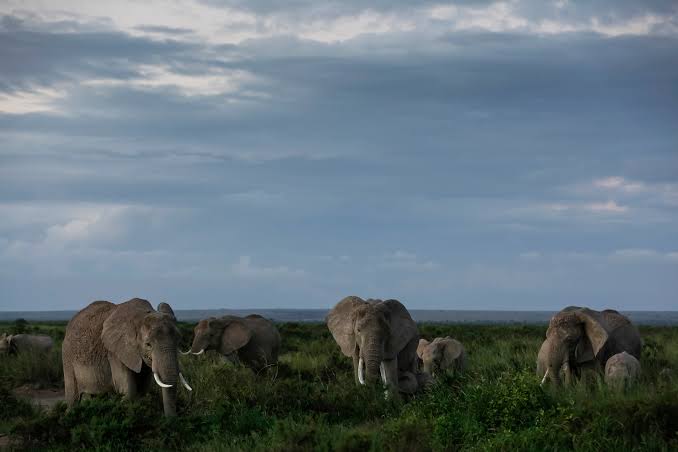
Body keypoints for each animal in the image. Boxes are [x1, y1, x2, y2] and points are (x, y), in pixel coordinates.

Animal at [62, 298, 192, 416]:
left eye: (179, 340)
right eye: (148, 344)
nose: (171, 420)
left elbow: (142, 390)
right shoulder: (115, 352)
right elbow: (128, 391)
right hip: (67, 356)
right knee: (73, 398)